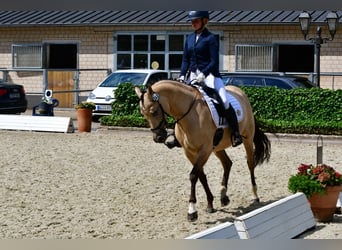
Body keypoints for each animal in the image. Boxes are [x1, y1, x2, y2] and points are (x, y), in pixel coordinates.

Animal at [134, 80, 270, 221]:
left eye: (154, 111)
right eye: (143, 114)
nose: (158, 138)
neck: (189, 114)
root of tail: (240, 91)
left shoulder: (205, 150)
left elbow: (193, 175)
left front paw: (192, 210)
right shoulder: (189, 151)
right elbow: (201, 176)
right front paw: (210, 204)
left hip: (247, 139)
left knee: (250, 164)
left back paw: (255, 196)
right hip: (217, 147)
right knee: (227, 163)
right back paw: (223, 196)